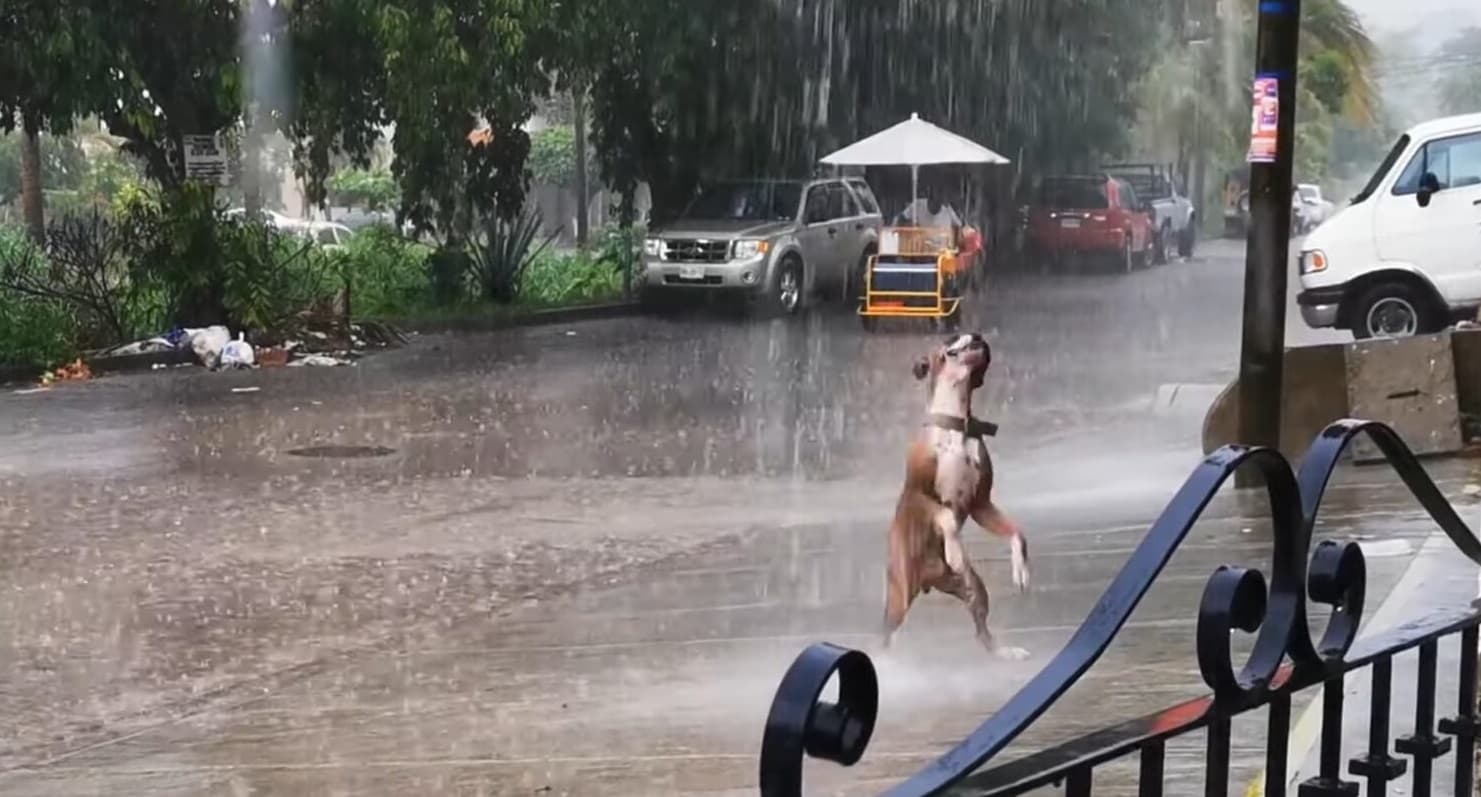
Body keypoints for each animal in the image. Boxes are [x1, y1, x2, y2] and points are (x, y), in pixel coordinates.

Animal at [876, 331, 1030, 654]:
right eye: (951, 337)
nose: (979, 336)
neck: (957, 423)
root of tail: (929, 580)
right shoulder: (927, 498)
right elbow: (946, 520)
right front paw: (955, 549)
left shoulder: (981, 505)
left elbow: (1016, 533)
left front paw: (1021, 570)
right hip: (899, 596)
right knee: (885, 632)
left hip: (974, 589)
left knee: (982, 629)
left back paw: (1006, 653)